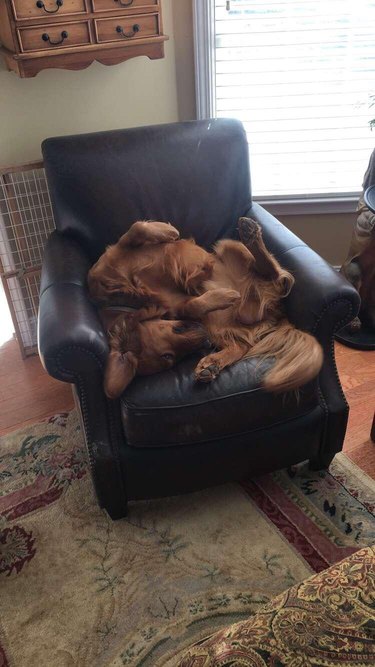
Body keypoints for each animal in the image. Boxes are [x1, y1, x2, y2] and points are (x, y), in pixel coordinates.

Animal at [88, 219, 324, 400]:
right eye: (169, 357)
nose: (205, 343)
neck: (127, 296)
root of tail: (277, 313)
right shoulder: (177, 304)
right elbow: (193, 304)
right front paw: (222, 296)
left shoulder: (108, 261)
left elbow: (135, 229)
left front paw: (167, 231)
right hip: (220, 324)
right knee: (242, 345)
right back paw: (212, 364)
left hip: (227, 246)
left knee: (274, 273)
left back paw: (250, 234)